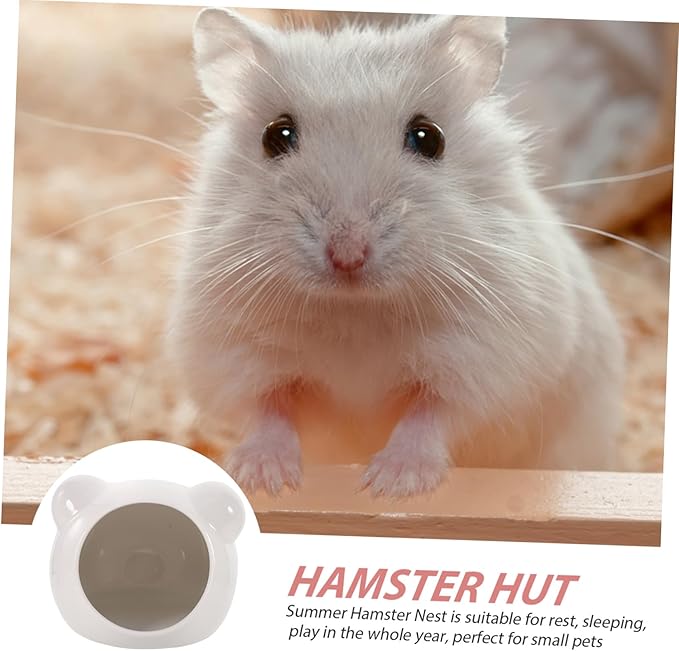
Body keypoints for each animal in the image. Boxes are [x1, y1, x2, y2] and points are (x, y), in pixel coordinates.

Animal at [167, 8, 625, 498]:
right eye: (277, 135)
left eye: (428, 137)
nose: (348, 255)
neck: (355, 312)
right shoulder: (234, 354)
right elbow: (268, 408)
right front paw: (263, 479)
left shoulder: (485, 359)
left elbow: (431, 414)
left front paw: (391, 484)